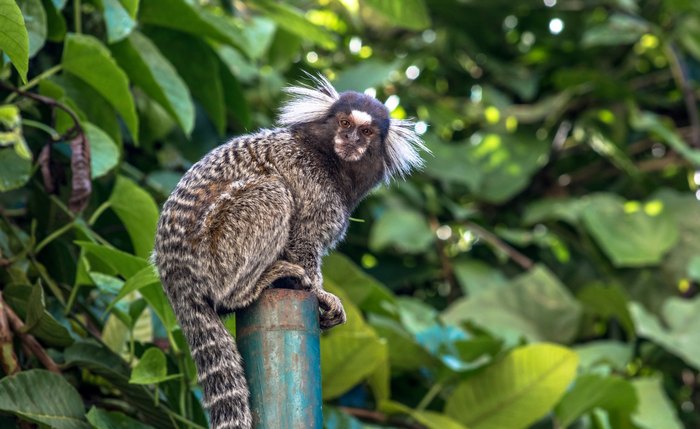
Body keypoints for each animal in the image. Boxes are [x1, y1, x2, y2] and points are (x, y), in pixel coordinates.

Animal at [153, 74, 426, 428]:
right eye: (344, 123)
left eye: (366, 132)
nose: (350, 139)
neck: (330, 161)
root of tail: (173, 275)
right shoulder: (311, 185)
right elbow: (302, 243)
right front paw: (320, 294)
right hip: (216, 251)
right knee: (273, 193)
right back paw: (247, 288)